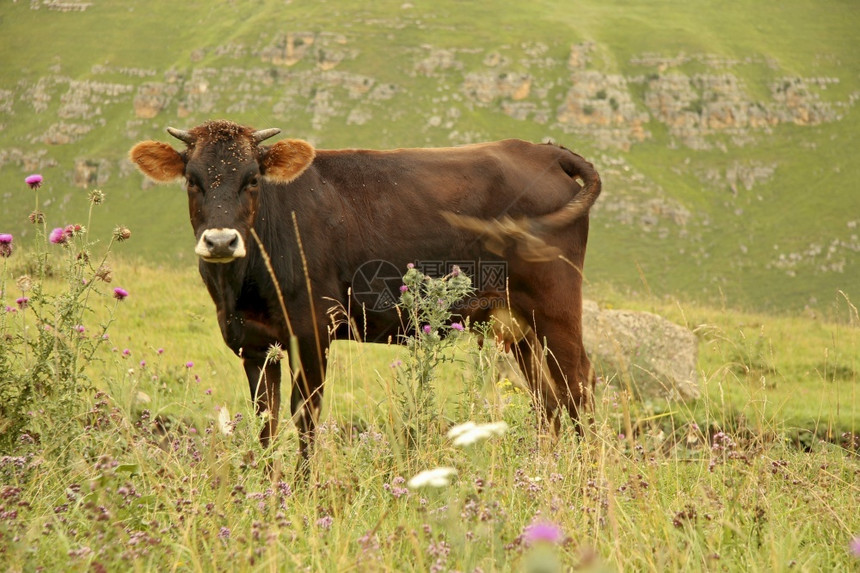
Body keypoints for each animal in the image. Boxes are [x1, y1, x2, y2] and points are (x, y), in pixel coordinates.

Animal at [131, 120, 600, 474]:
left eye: (251, 180)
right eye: (193, 181)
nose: (221, 241)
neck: (240, 289)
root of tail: (542, 152)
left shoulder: (312, 329)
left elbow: (305, 414)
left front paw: (302, 488)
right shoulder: (253, 343)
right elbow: (266, 419)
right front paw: (266, 485)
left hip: (554, 305)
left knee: (578, 386)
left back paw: (588, 478)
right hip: (516, 325)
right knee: (548, 400)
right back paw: (545, 471)